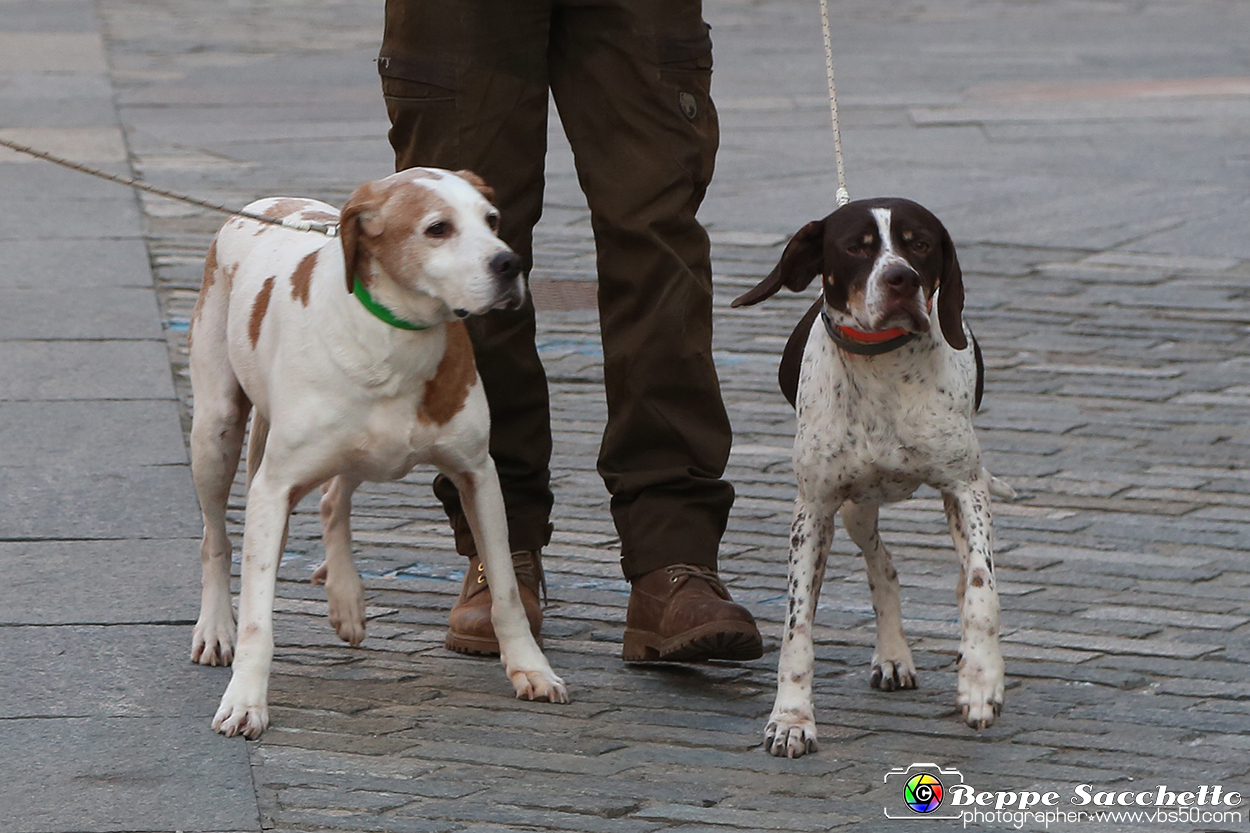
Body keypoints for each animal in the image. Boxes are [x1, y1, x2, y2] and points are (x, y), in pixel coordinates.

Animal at [187, 165, 570, 735]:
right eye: (437, 228)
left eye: (493, 220)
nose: (510, 263)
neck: (396, 339)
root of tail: (265, 203)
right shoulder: (274, 486)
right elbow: (258, 618)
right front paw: (246, 700)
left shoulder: (478, 476)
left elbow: (504, 588)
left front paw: (530, 668)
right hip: (216, 432)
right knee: (217, 540)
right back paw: (216, 627)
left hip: (357, 454)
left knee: (333, 501)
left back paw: (345, 594)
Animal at [730, 197, 1015, 755]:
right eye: (855, 247)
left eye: (919, 243)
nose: (902, 279)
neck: (883, 368)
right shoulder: (814, 511)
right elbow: (798, 628)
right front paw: (791, 719)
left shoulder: (965, 488)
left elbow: (981, 592)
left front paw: (981, 680)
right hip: (855, 510)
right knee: (883, 566)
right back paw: (893, 656)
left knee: (954, 576)